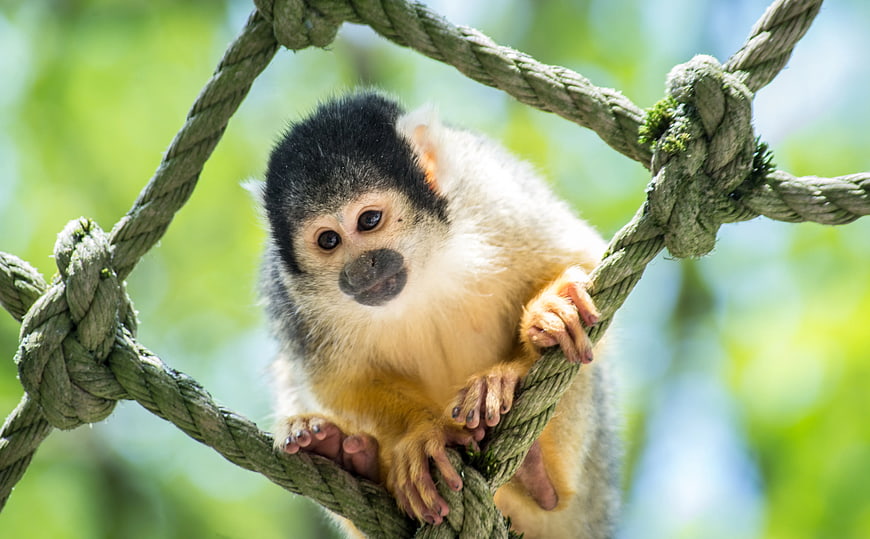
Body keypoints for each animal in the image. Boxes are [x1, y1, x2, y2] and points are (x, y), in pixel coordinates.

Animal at [252, 91, 620, 538]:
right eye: (328, 240)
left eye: (369, 220)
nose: (361, 269)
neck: (423, 266)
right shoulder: (290, 293)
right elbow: (338, 384)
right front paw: (421, 433)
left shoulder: (490, 192)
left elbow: (578, 255)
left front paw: (521, 351)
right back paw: (347, 456)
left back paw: (541, 477)